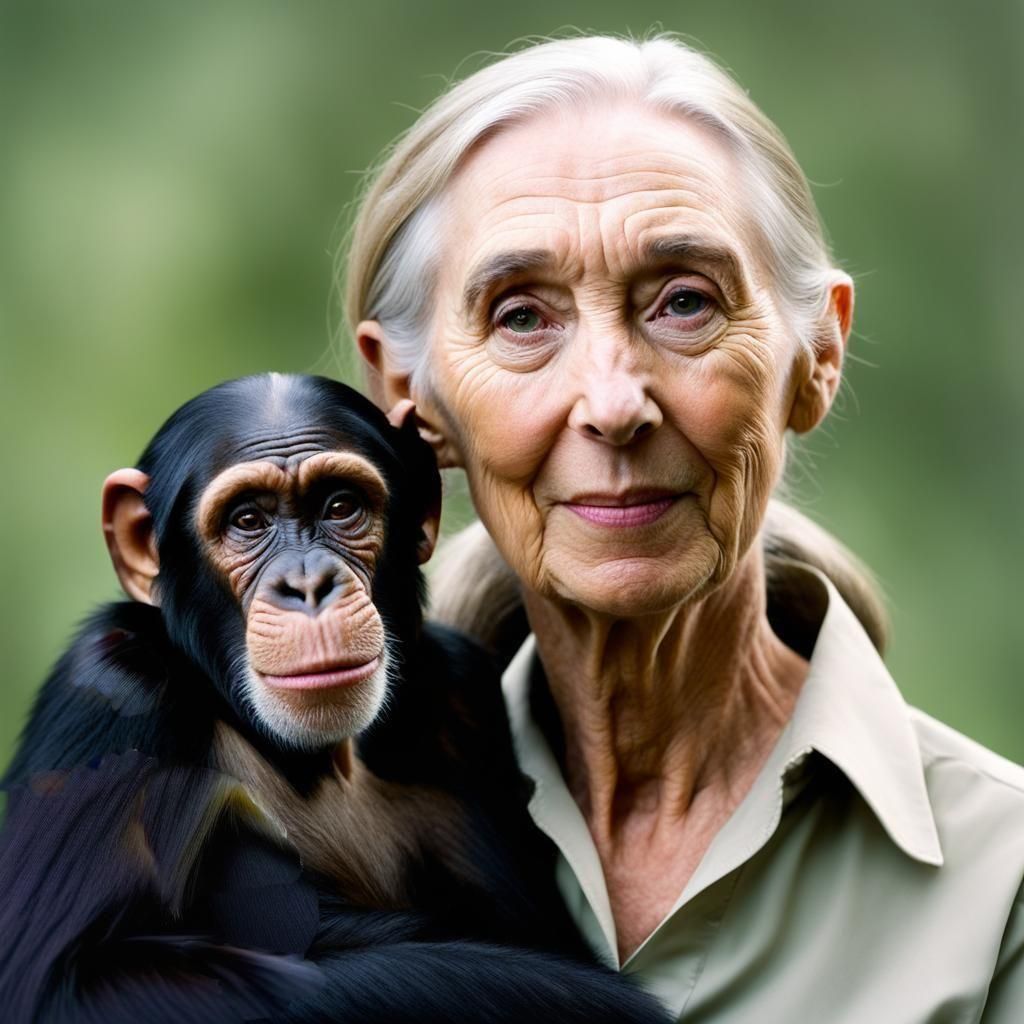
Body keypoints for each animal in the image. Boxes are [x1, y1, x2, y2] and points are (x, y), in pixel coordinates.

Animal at [0, 373, 671, 1024]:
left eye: (341, 506)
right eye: (248, 520)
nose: (308, 584)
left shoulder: (462, 689)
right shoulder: (113, 696)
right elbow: (66, 985)